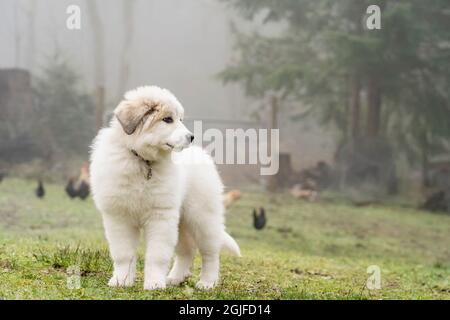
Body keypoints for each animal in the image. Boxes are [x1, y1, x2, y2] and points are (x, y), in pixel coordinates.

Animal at [89, 85, 241, 290]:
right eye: (167, 119)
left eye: (180, 120)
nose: (191, 137)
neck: (143, 161)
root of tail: (201, 154)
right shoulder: (119, 217)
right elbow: (123, 254)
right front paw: (121, 280)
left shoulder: (160, 216)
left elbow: (157, 255)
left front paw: (153, 283)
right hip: (180, 222)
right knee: (187, 250)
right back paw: (175, 278)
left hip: (202, 218)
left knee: (210, 253)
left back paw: (207, 282)